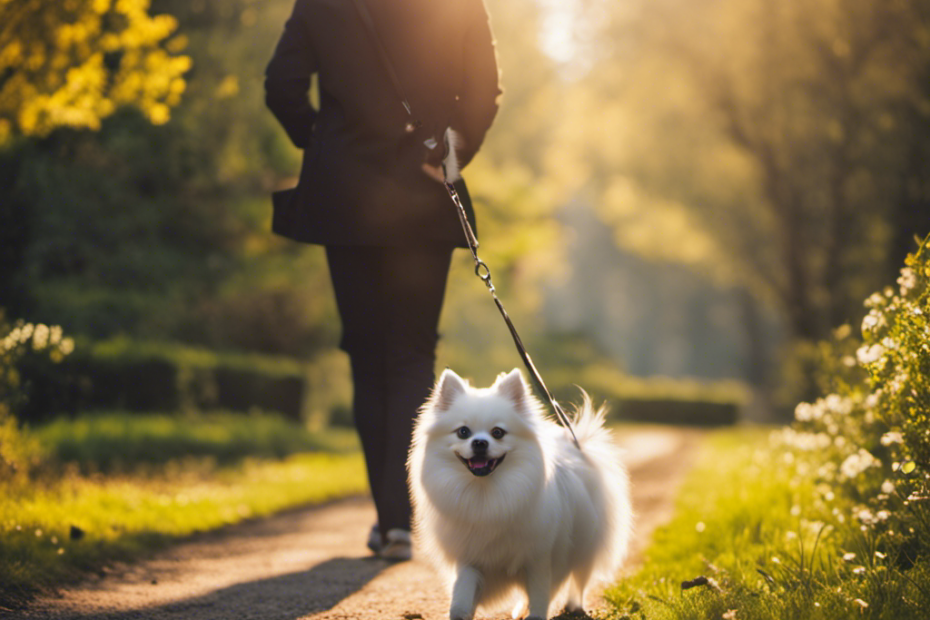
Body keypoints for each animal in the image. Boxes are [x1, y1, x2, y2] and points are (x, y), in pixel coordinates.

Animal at [406, 368, 632, 620]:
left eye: (498, 433)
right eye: (463, 432)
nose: (480, 442)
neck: (485, 493)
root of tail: (577, 446)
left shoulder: (538, 556)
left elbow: (540, 592)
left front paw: (537, 614)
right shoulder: (470, 556)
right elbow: (461, 595)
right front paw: (461, 612)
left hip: (586, 543)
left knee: (579, 578)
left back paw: (574, 606)